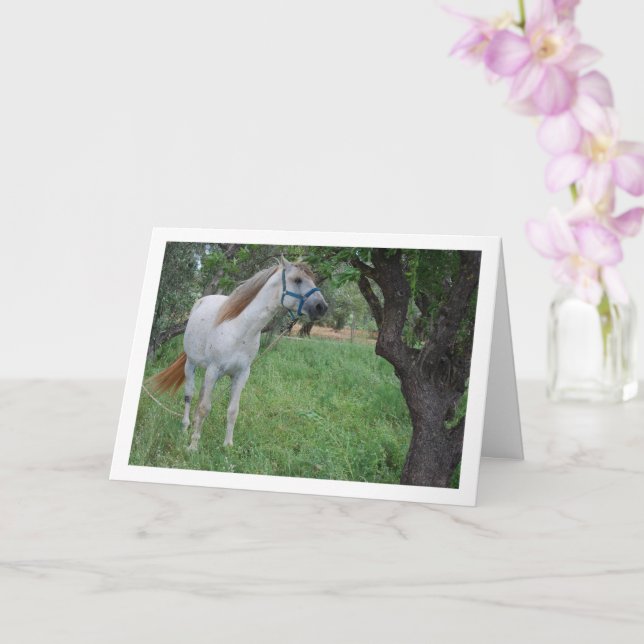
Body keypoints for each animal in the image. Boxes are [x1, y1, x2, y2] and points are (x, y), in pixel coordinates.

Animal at [149, 256, 328, 450]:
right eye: (297, 280)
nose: (321, 307)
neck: (239, 330)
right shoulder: (213, 370)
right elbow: (204, 407)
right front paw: (193, 446)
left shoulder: (241, 374)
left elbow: (232, 410)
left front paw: (227, 445)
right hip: (191, 364)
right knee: (189, 395)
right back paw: (185, 427)